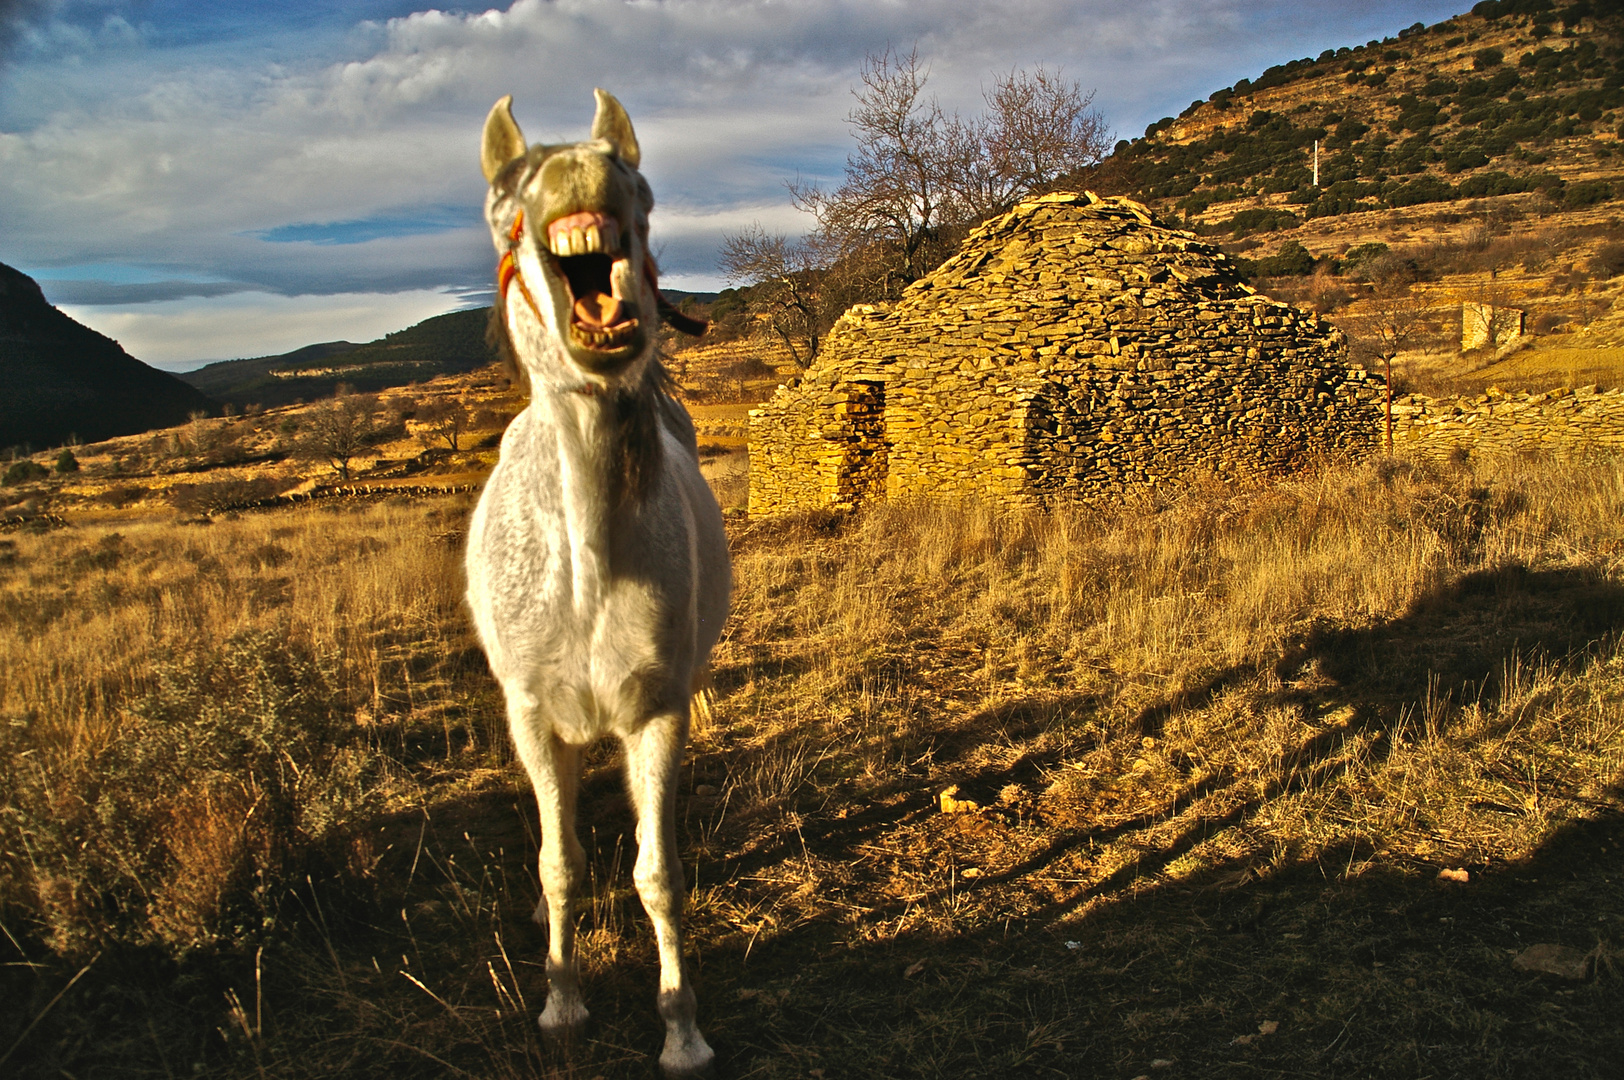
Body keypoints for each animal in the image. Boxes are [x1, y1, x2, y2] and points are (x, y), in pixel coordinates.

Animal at [464, 92, 730, 1078]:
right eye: (504, 202)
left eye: (642, 193)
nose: (580, 167)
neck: (585, 574)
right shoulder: (534, 717)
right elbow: (561, 864)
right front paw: (563, 1003)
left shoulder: (656, 713)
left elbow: (657, 876)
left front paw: (682, 1031)